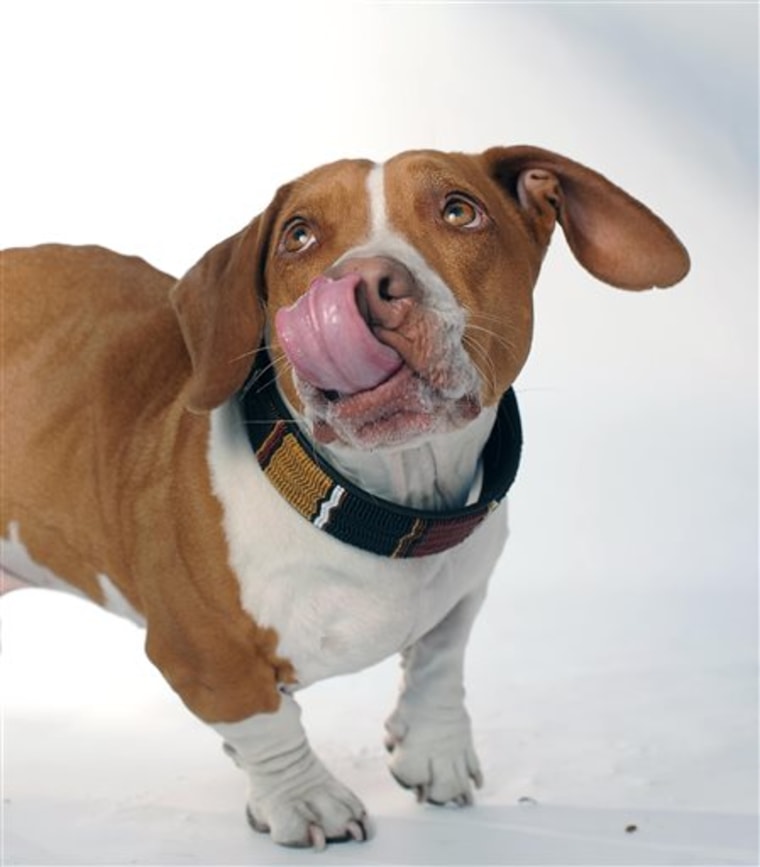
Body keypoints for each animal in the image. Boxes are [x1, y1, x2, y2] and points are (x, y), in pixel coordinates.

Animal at [0, 147, 688, 848]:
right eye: (298, 235)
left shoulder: (466, 582)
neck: (381, 511)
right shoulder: (203, 656)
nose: (364, 283)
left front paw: (433, 748)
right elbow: (268, 723)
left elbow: (440, 656)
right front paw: (305, 799)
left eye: (459, 211)